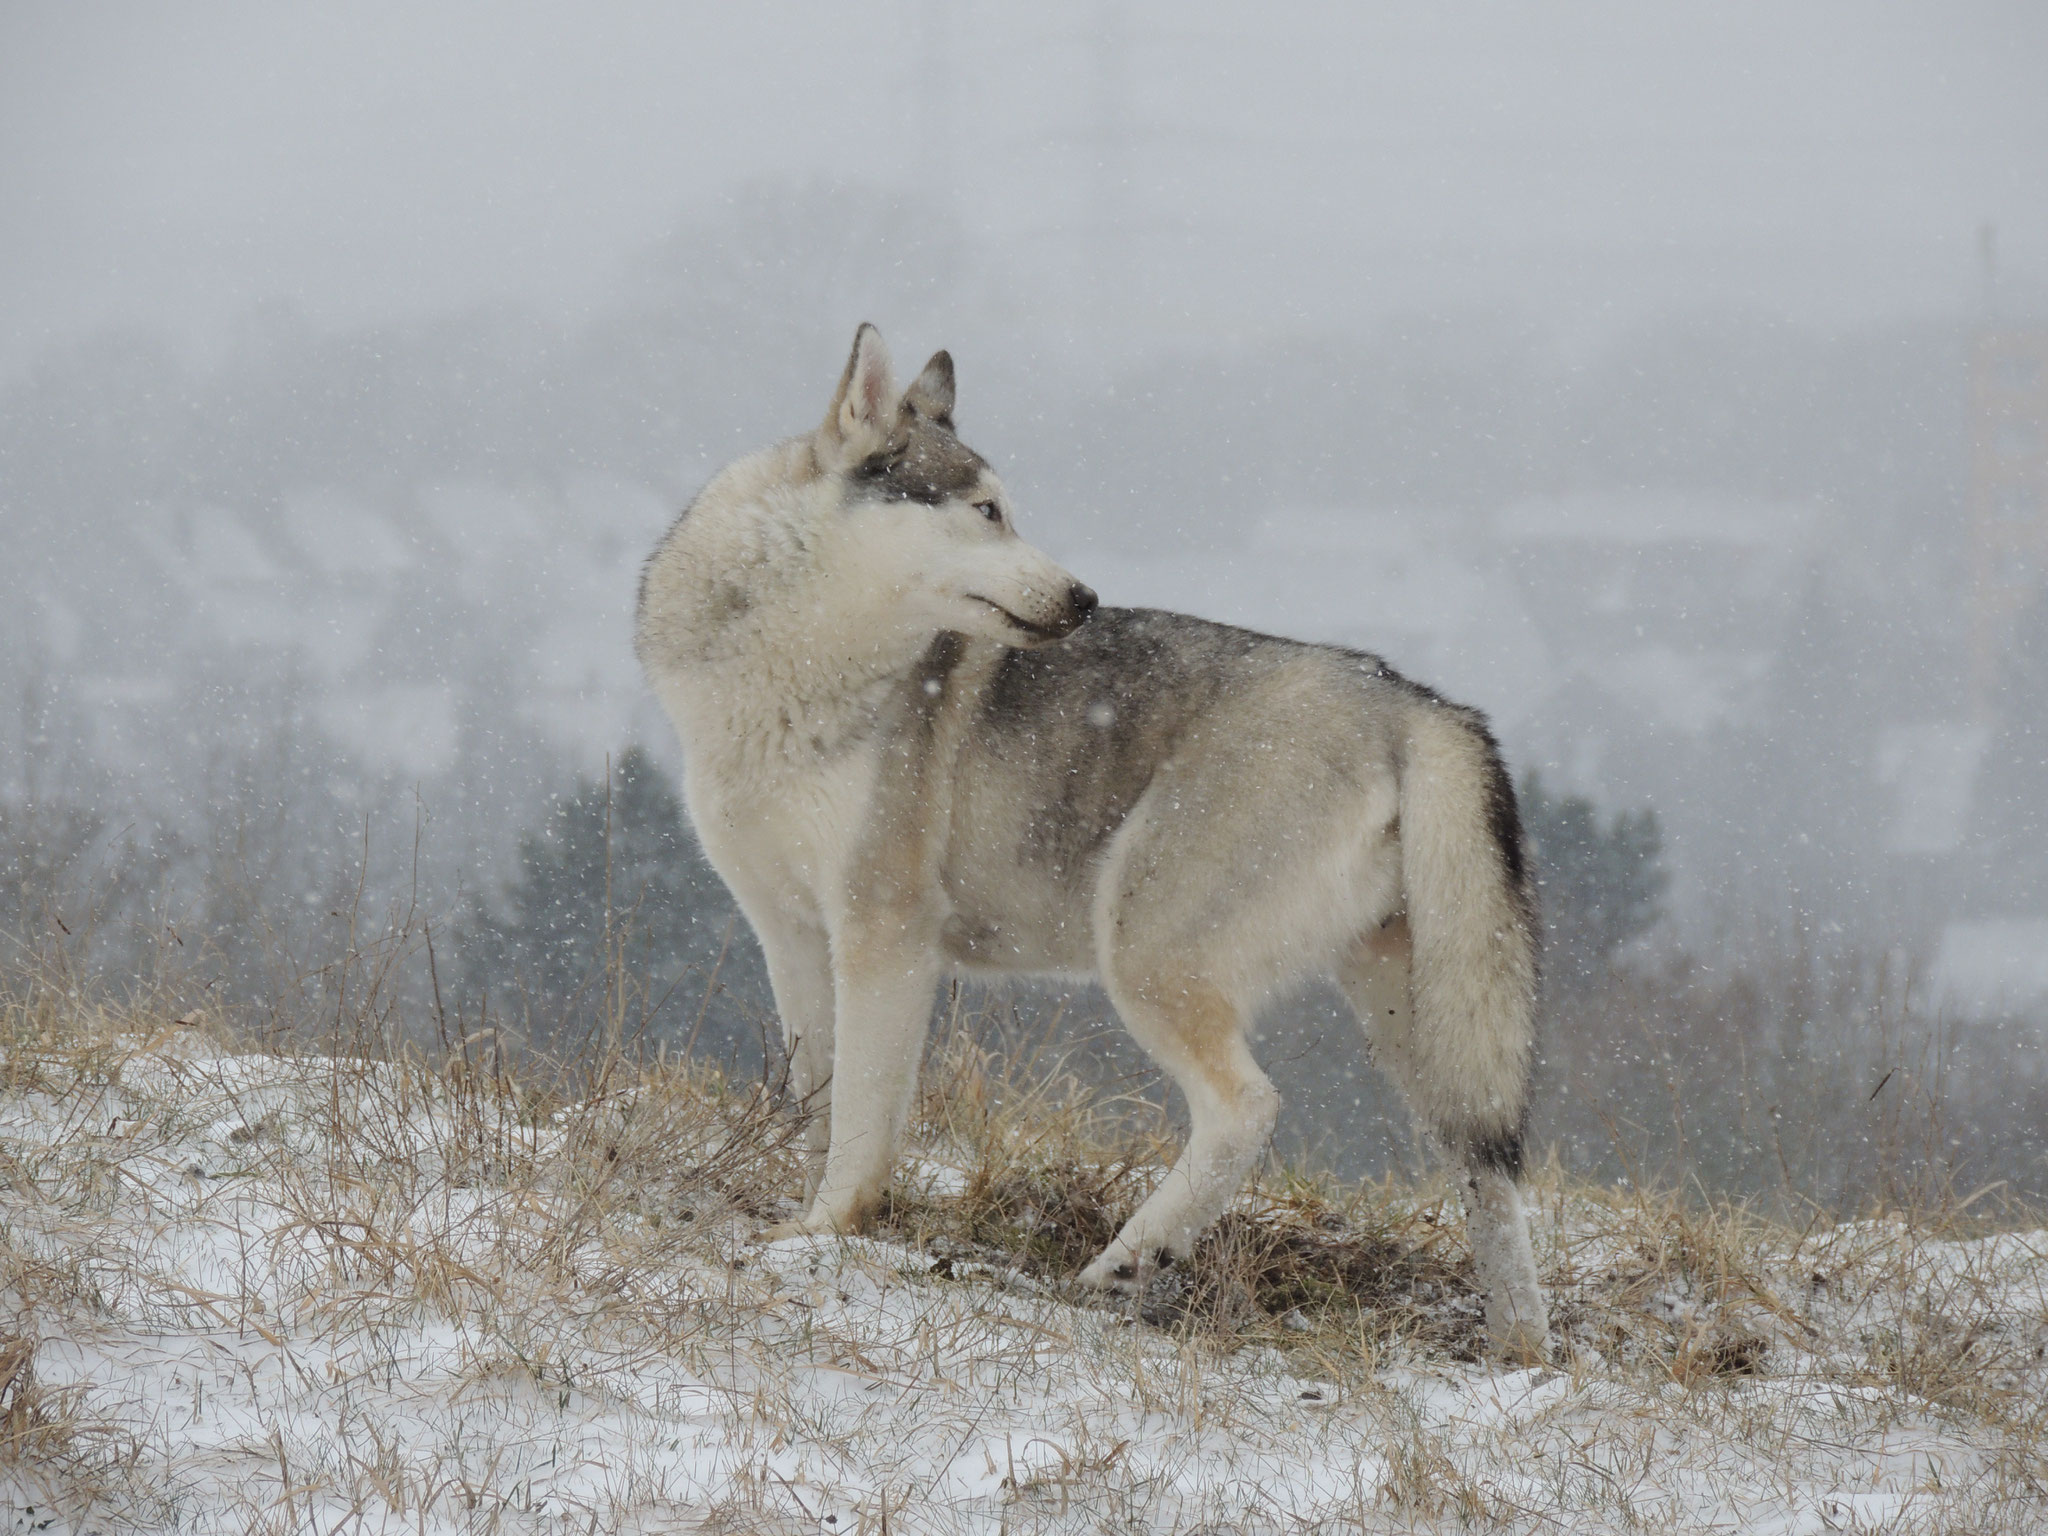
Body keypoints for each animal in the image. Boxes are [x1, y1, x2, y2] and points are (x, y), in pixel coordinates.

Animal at [630, 327, 1540, 1359]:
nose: (1084, 597)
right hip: (1416, 1025)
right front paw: (806, 1215)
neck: (792, 674)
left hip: (1145, 954)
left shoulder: (882, 933)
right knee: (1491, 1169)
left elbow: (860, 1119)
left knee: (1249, 1107)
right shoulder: (788, 934)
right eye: (986, 512)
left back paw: (1127, 1262)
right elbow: (819, 1102)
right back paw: (1522, 1354)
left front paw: (824, 1233)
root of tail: (1417, 702)